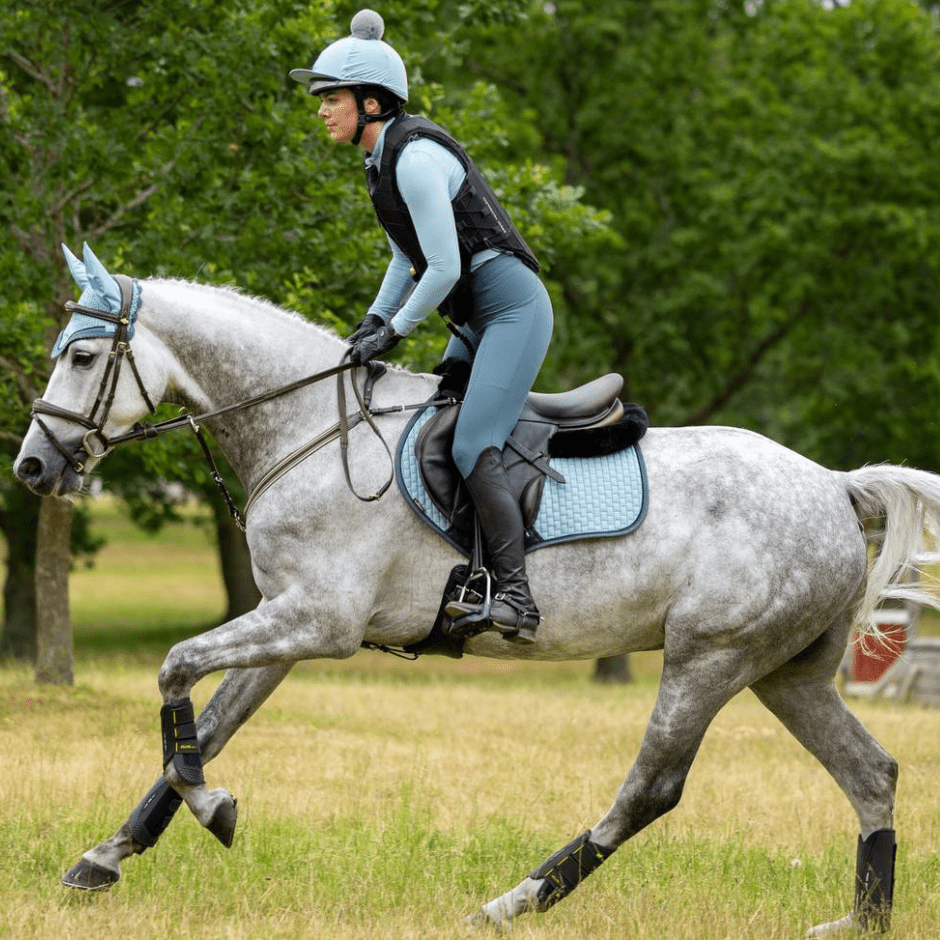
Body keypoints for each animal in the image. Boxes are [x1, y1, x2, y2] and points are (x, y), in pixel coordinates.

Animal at [12, 242, 940, 932]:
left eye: (83, 357)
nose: (33, 468)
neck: (308, 428)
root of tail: (834, 485)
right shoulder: (285, 625)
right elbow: (204, 727)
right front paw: (105, 856)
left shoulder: (318, 621)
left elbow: (175, 672)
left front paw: (213, 809)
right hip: (786, 674)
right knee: (872, 774)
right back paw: (861, 921)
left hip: (709, 657)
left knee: (651, 789)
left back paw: (513, 900)